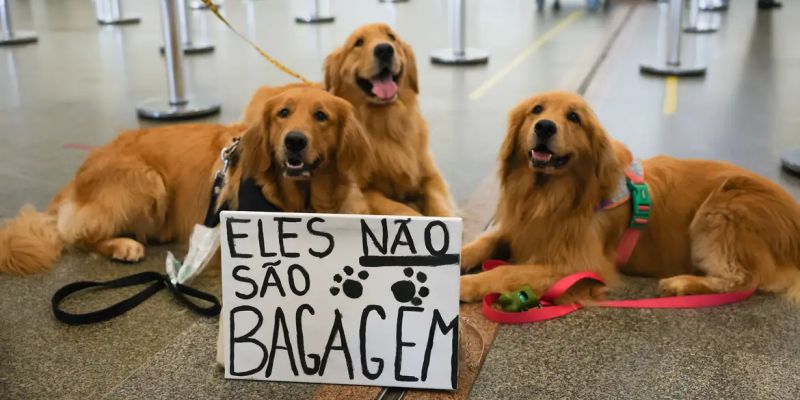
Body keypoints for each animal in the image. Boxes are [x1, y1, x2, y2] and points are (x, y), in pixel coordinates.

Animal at [0, 86, 368, 276]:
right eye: (284, 113)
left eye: (321, 116)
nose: (294, 141)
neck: (299, 200)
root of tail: (78, 176)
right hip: (146, 181)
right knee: (79, 234)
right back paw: (123, 246)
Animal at [244, 23, 456, 219]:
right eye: (358, 42)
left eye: (391, 37)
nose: (384, 49)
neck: (385, 124)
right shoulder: (362, 190)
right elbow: (402, 209)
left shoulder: (430, 176)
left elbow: (442, 206)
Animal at [456, 91, 800, 304]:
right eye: (536, 110)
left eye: (574, 117)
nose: (544, 127)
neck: (548, 195)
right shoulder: (518, 228)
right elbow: (481, 243)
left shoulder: (580, 264)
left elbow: (507, 271)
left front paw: (465, 284)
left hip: (722, 207)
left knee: (744, 279)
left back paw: (682, 283)